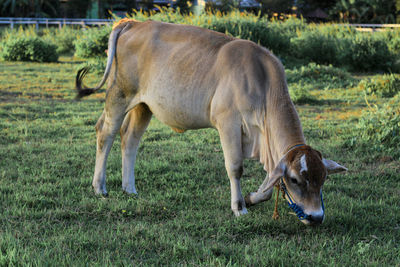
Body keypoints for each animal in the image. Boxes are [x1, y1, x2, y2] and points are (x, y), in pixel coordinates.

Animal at [76, 18, 346, 226]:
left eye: (323, 179)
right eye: (296, 180)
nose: (316, 217)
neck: (262, 81)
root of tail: (133, 23)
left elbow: (270, 181)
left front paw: (252, 198)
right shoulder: (228, 123)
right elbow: (235, 167)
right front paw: (239, 207)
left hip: (144, 106)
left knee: (130, 140)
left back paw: (129, 188)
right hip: (119, 94)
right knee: (106, 133)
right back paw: (100, 187)